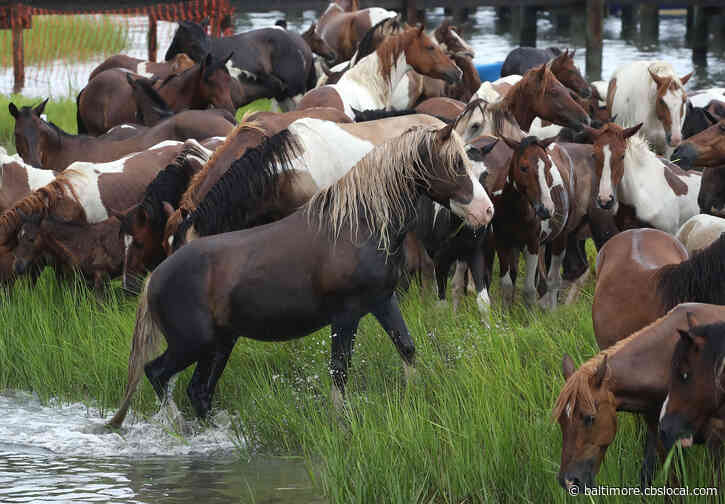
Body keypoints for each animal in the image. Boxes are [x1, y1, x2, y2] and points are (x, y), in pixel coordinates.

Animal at [107, 122, 494, 428]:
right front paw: (341, 422)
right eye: (457, 164)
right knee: (157, 374)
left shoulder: (383, 302)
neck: (357, 226)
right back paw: (178, 428)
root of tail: (156, 278)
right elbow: (340, 371)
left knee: (198, 391)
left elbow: (407, 349)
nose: (487, 211)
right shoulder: (346, 315)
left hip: (219, 344)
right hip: (193, 344)